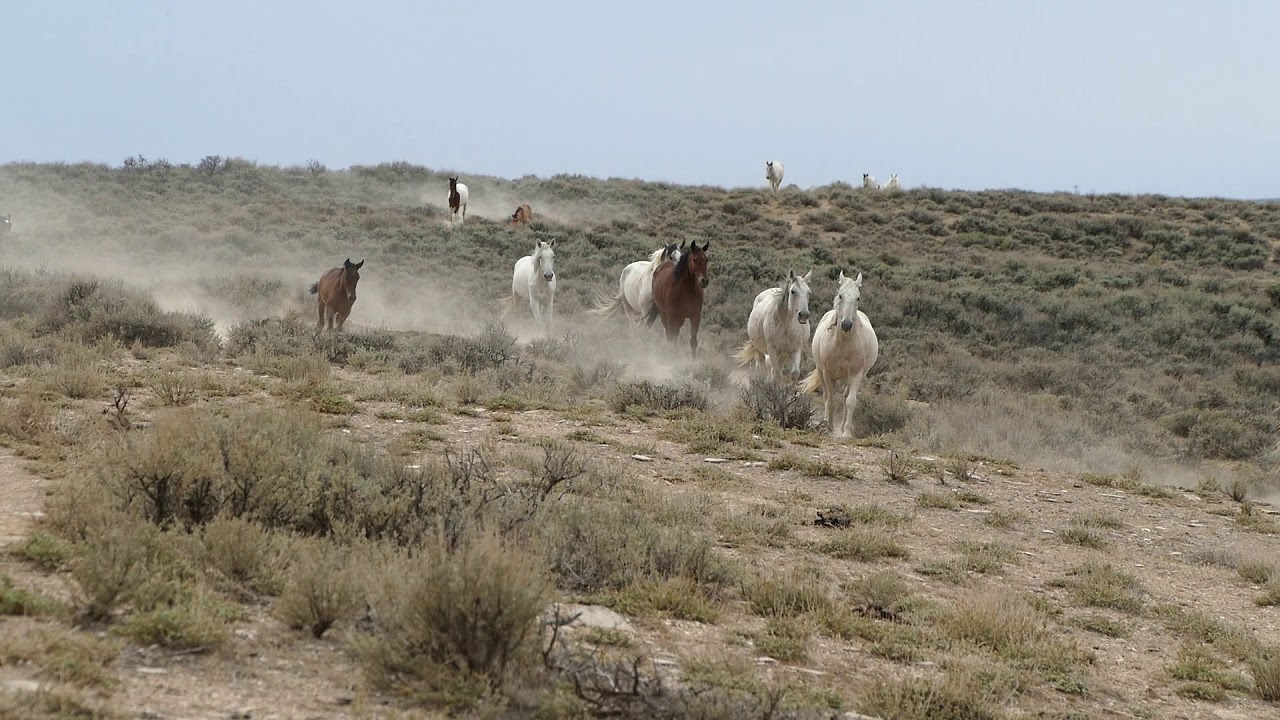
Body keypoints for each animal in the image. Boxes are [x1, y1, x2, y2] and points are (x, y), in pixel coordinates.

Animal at [800, 271, 879, 438]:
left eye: (858, 298)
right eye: (840, 296)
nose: (846, 324)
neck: (842, 343)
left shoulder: (856, 374)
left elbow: (850, 401)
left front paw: (846, 432)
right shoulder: (828, 373)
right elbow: (830, 399)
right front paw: (828, 427)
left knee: (844, 397)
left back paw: (842, 427)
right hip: (821, 371)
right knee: (827, 396)